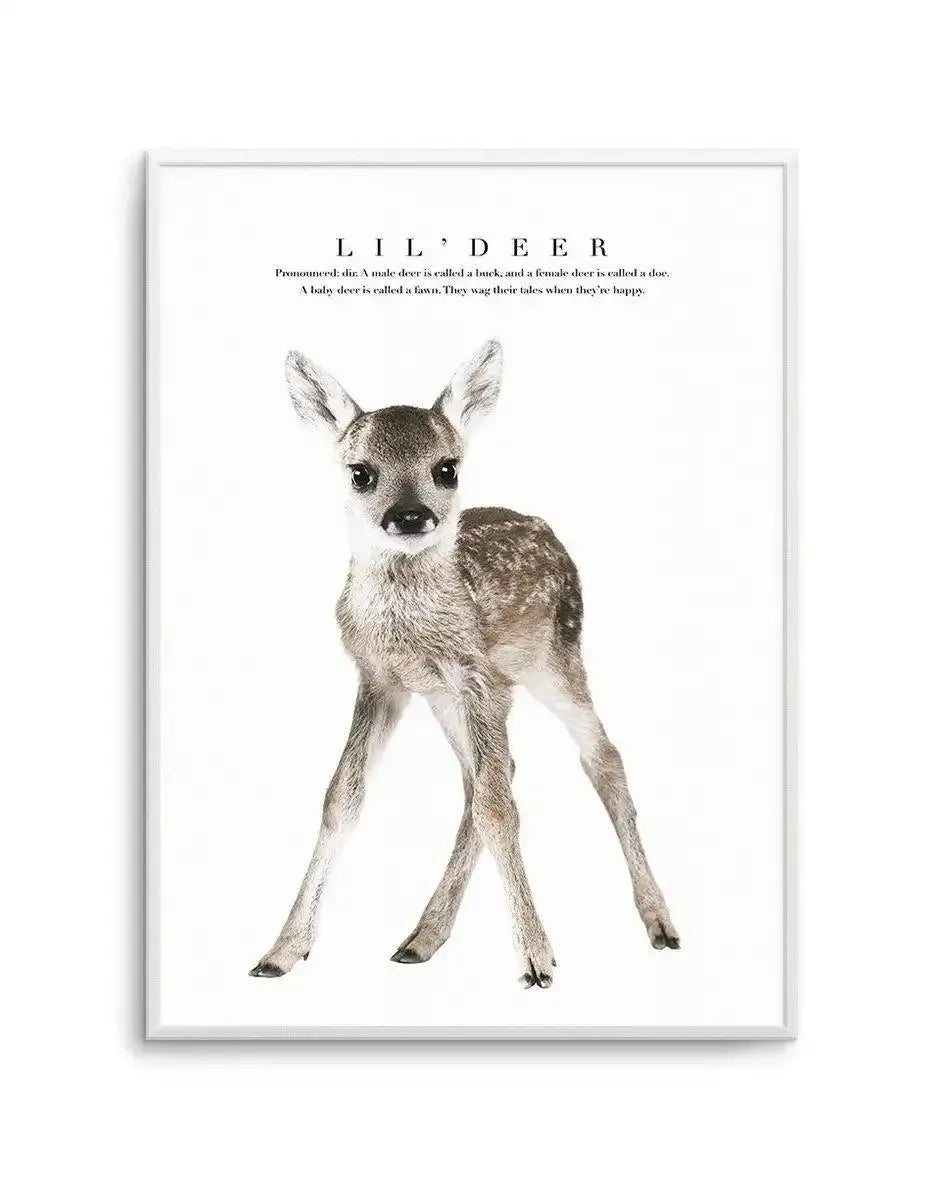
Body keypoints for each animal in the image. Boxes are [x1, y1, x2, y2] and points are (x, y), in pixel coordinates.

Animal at [249, 340, 679, 988]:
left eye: (446, 468)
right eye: (360, 472)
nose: (410, 516)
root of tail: (547, 527)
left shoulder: (476, 675)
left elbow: (500, 810)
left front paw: (536, 960)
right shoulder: (382, 679)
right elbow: (342, 797)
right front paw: (281, 950)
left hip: (555, 658)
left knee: (599, 757)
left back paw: (660, 923)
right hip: (455, 698)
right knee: (487, 778)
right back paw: (422, 938)